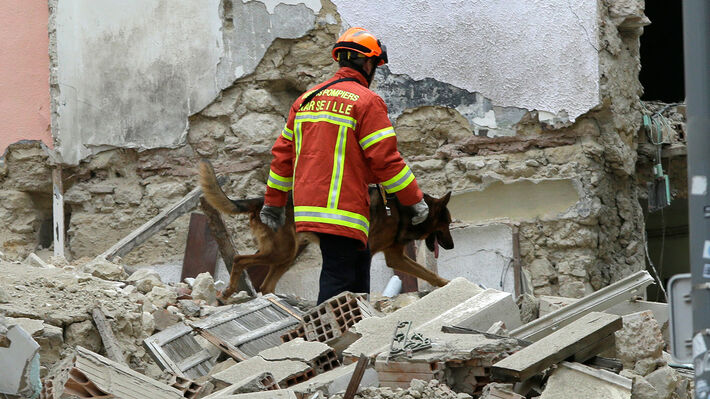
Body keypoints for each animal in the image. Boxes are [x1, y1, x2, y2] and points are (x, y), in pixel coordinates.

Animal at [199, 160, 456, 300]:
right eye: (447, 224)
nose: (452, 246)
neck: (404, 212)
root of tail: (260, 201)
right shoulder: (381, 256)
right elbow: (424, 272)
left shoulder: (396, 256)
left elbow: (428, 273)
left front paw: (447, 284)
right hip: (281, 252)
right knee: (240, 259)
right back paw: (229, 291)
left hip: (286, 255)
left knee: (266, 285)